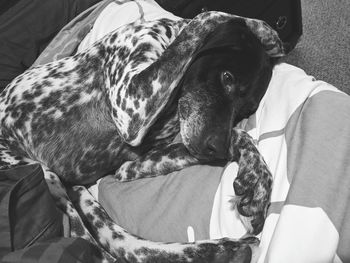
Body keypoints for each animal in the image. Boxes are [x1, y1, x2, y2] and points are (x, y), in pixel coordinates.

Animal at [0, 11, 284, 262]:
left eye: (247, 109)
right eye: (227, 78)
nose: (219, 148)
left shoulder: (130, 165)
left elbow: (239, 134)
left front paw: (257, 181)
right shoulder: (130, 104)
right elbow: (208, 16)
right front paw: (262, 28)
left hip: (82, 197)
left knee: (127, 246)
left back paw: (226, 251)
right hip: (44, 174)